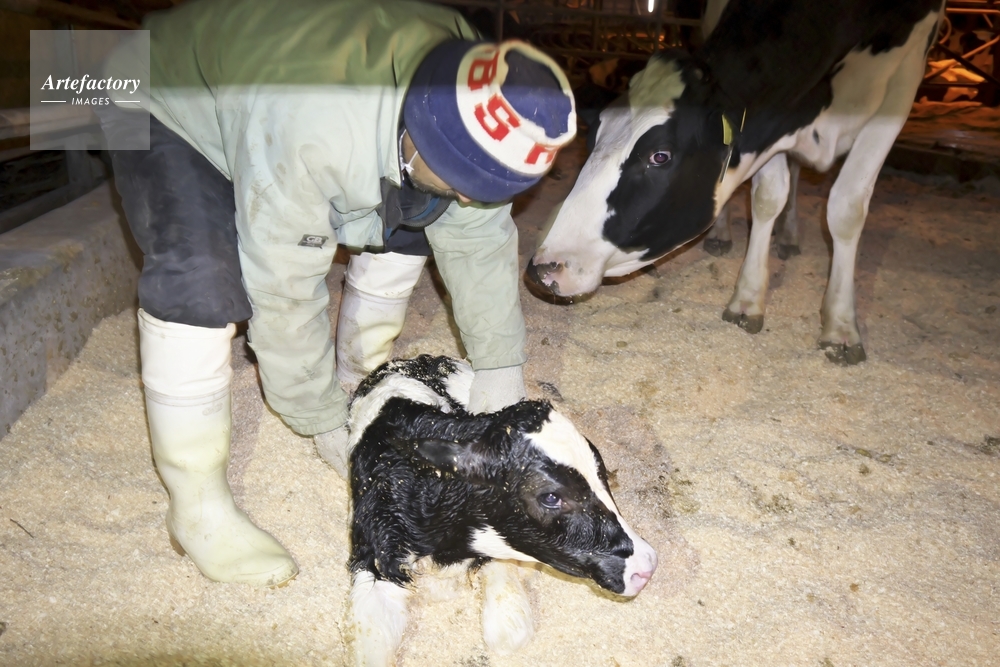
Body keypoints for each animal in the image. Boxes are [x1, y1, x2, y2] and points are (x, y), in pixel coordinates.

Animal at [526, 0, 944, 365]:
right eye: (593, 136)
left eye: (660, 156)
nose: (543, 268)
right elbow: (768, 197)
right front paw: (748, 299)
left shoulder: (902, 87)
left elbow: (846, 208)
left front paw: (841, 326)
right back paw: (725, 234)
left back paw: (790, 237)